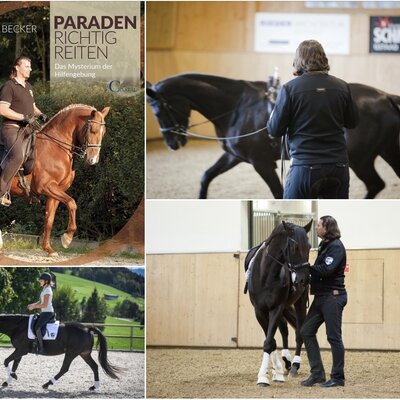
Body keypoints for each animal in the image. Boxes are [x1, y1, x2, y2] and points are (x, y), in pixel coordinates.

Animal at [9, 105, 109, 256]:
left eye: (104, 132)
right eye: (93, 130)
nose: (93, 160)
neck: (55, 147)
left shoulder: (55, 192)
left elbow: (49, 219)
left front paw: (48, 249)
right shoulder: (46, 186)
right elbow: (72, 203)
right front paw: (67, 238)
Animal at [147, 72, 400, 199]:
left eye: (158, 111)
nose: (172, 143)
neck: (237, 106)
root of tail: (384, 96)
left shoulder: (262, 163)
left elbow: (278, 193)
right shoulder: (234, 157)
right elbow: (206, 177)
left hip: (360, 160)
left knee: (375, 184)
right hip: (387, 151)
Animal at [244, 220, 312, 386]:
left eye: (309, 246)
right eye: (294, 247)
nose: (304, 279)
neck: (265, 274)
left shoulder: (276, 308)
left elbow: (269, 340)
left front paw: (265, 376)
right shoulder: (260, 311)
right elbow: (271, 340)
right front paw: (275, 371)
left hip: (299, 302)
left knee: (299, 331)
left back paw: (294, 365)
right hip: (285, 308)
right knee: (284, 330)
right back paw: (285, 362)